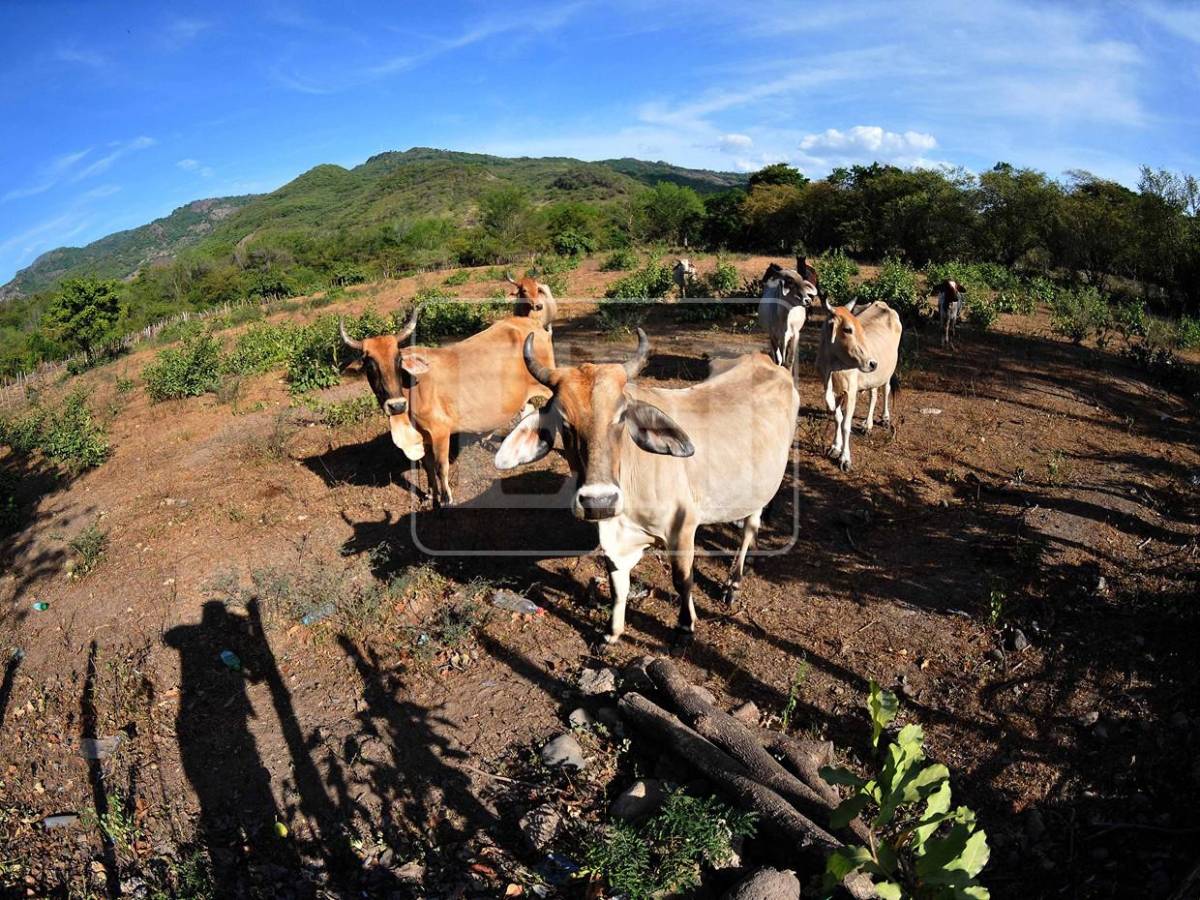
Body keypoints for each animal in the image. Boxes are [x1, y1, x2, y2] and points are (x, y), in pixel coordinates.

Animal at [341, 310, 556, 507]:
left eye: (398, 360)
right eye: (370, 366)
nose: (396, 405)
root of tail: (532, 323)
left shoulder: (440, 432)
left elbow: (440, 466)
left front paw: (445, 499)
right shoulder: (424, 437)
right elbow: (427, 466)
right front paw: (429, 493)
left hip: (547, 385)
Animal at [495, 330, 798, 644]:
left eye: (621, 417)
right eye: (564, 422)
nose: (599, 502)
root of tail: (764, 360)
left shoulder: (682, 528)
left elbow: (682, 580)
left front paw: (685, 625)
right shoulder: (616, 540)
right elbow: (618, 587)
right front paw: (612, 632)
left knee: (750, 526)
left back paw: (734, 582)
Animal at [815, 298, 902, 472]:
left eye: (860, 327)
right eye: (848, 329)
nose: (872, 363)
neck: (832, 366)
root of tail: (882, 304)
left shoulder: (850, 393)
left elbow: (845, 424)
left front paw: (845, 459)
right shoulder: (834, 392)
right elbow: (837, 418)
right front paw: (835, 447)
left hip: (888, 371)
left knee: (886, 389)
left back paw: (885, 418)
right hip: (873, 377)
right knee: (873, 395)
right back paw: (868, 425)